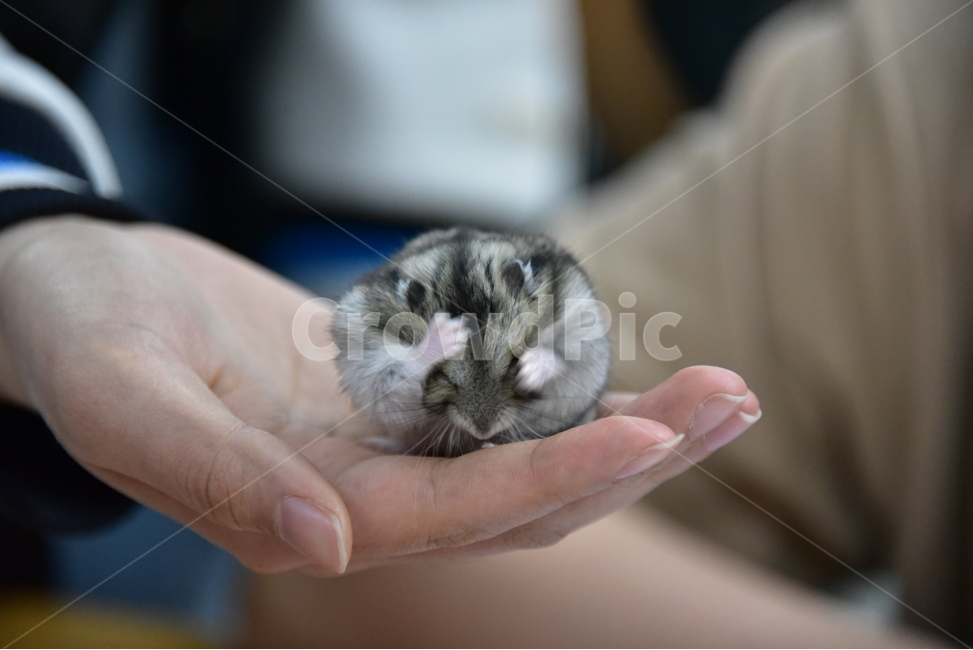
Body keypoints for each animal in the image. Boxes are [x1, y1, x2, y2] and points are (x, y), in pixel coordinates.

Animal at [331, 228, 611, 457]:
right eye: (441, 375)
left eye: (513, 364)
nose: (483, 431)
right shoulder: (371, 363)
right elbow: (395, 372)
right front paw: (447, 333)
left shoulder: (581, 324)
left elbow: (562, 354)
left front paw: (530, 369)